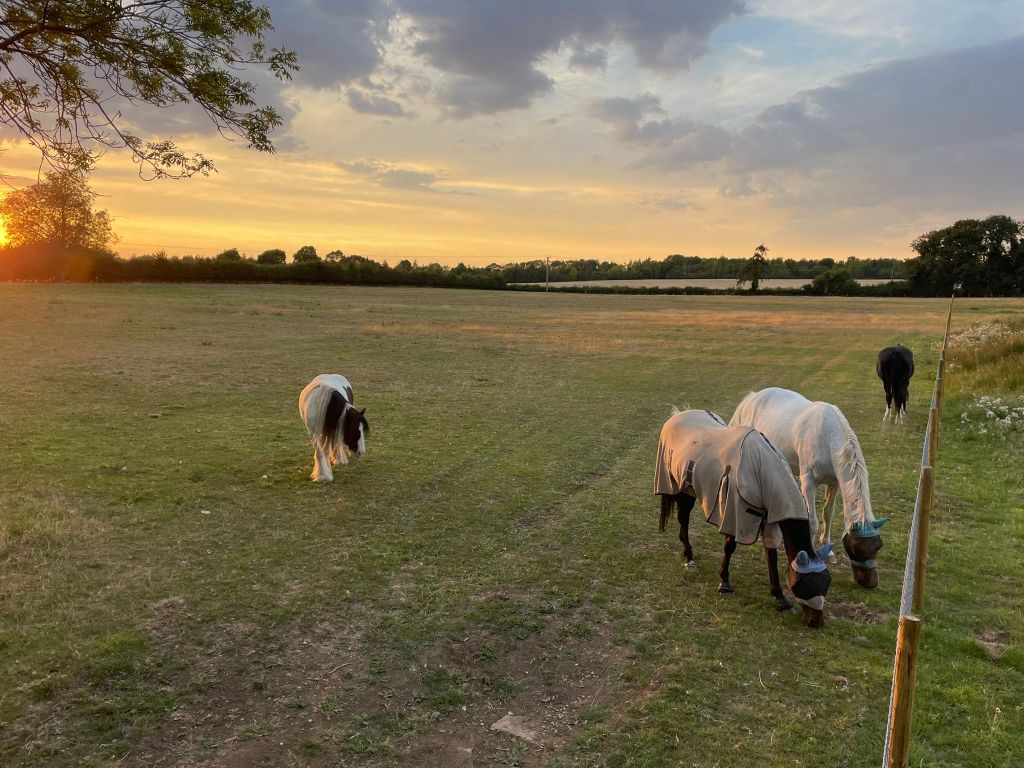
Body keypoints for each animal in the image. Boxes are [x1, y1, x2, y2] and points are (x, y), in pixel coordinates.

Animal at [655, 409, 833, 628]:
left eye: (826, 583)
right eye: (804, 584)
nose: (816, 622)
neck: (760, 466)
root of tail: (677, 415)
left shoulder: (771, 518)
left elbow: (771, 555)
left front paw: (781, 599)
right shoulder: (735, 513)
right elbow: (729, 546)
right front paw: (724, 583)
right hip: (681, 488)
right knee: (683, 520)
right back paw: (688, 557)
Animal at [729, 387, 888, 589]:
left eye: (878, 546)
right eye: (857, 548)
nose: (870, 583)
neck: (827, 437)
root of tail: (753, 398)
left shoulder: (834, 482)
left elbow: (827, 514)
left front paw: (828, 550)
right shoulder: (809, 482)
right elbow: (812, 521)